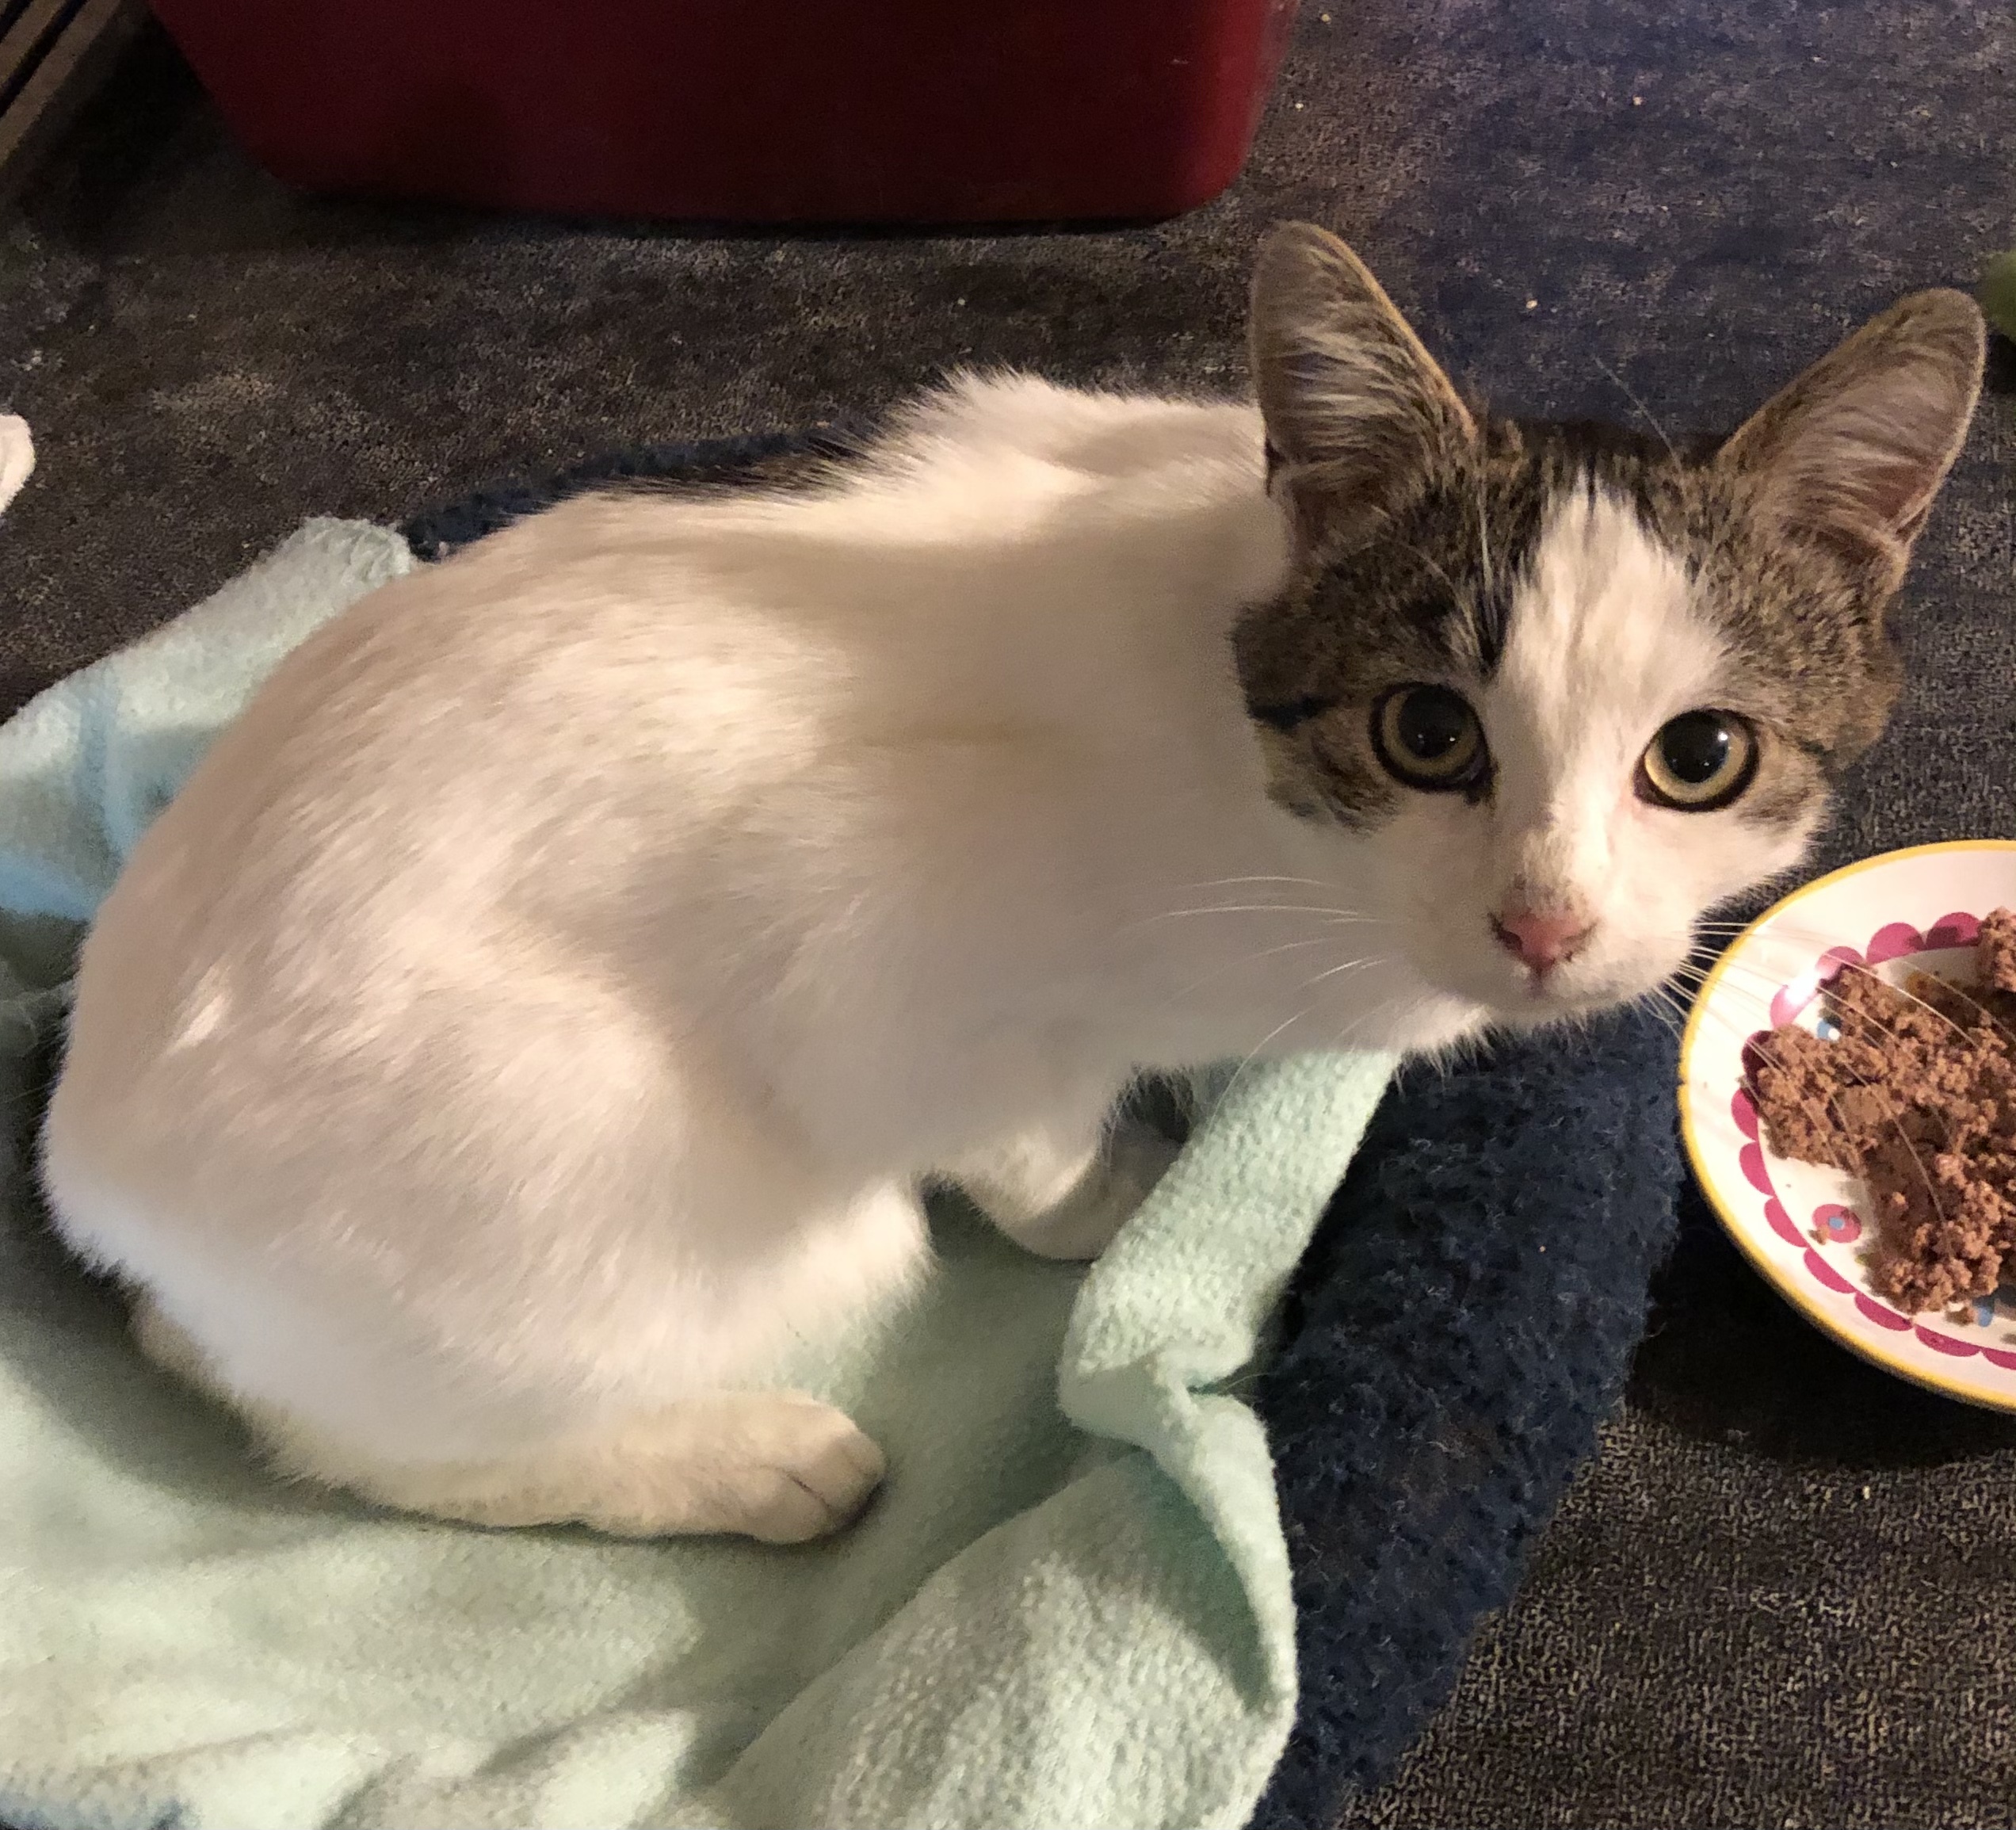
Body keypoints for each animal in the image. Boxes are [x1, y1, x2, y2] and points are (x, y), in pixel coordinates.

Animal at [35, 228, 1984, 1547]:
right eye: (1428, 730)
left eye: (1699, 756)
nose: (1545, 923)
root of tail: (82, 1151)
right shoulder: (876, 940)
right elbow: (1014, 1138)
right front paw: (1115, 1188)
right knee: (304, 1409)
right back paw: (734, 1450)